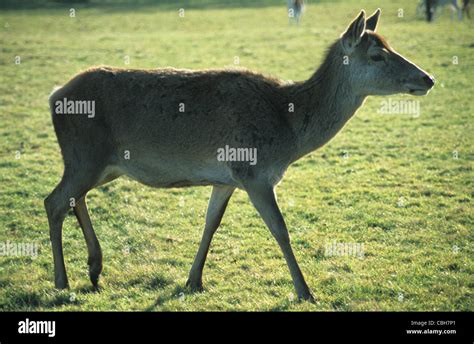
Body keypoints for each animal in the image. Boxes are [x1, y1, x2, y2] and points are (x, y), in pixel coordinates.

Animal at [46, 8, 436, 300]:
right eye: (376, 55)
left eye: (390, 45)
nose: (428, 78)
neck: (289, 131)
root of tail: (53, 95)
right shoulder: (255, 171)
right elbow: (280, 229)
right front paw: (305, 291)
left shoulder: (227, 178)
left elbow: (211, 222)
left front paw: (193, 280)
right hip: (85, 156)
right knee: (54, 201)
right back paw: (63, 280)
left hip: (103, 165)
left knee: (73, 198)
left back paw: (95, 268)